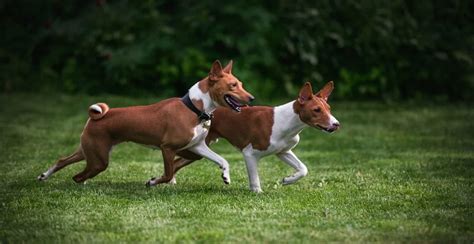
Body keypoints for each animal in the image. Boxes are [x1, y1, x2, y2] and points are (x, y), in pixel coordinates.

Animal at [37, 60, 254, 186]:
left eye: (241, 84)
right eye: (233, 85)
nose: (252, 98)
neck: (193, 108)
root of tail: (95, 117)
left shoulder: (197, 147)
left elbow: (222, 160)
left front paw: (226, 176)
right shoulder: (167, 148)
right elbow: (168, 174)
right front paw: (152, 181)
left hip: (90, 151)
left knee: (63, 160)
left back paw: (44, 176)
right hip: (99, 160)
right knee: (78, 176)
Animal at [172, 82, 338, 193]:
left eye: (329, 109)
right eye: (316, 110)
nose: (336, 124)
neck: (287, 122)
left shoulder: (283, 152)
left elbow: (303, 169)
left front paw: (288, 179)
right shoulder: (250, 153)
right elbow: (254, 178)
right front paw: (257, 192)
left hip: (196, 151)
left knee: (176, 163)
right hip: (191, 148)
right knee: (174, 160)